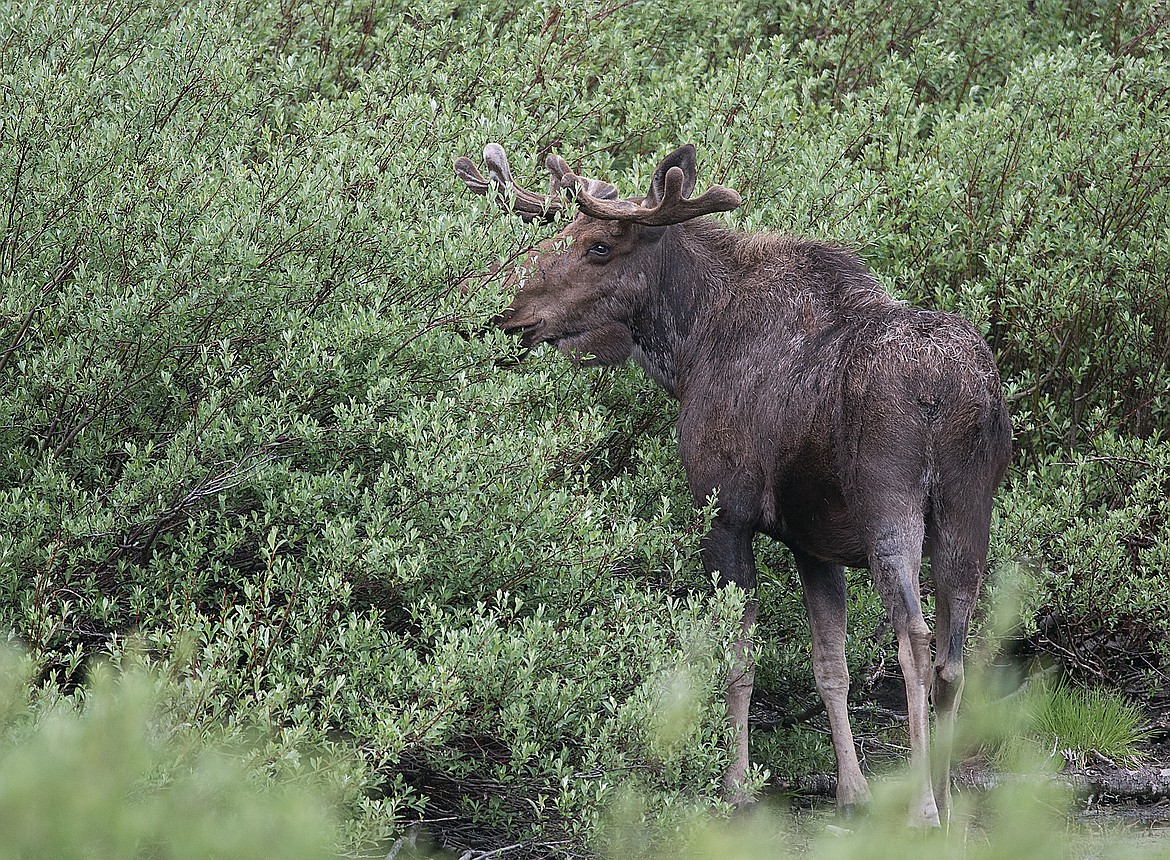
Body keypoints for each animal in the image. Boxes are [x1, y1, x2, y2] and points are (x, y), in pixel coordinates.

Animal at [451, 142, 1010, 828]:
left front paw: (738, 786)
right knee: (956, 656)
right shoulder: (813, 542)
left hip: (893, 509)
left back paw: (924, 810)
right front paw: (851, 789)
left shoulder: (727, 514)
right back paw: (952, 807)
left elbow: (737, 659)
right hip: (968, 512)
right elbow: (830, 664)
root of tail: (954, 394)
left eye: (598, 246)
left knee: (917, 641)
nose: (508, 311)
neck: (687, 352)